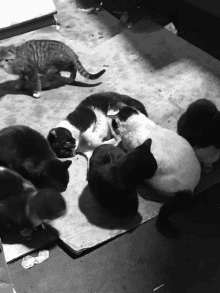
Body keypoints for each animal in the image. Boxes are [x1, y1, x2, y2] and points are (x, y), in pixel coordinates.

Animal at [107, 102, 202, 235]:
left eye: (113, 125)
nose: (113, 133)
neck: (136, 123)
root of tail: (189, 190)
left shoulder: (133, 149)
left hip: (155, 179)